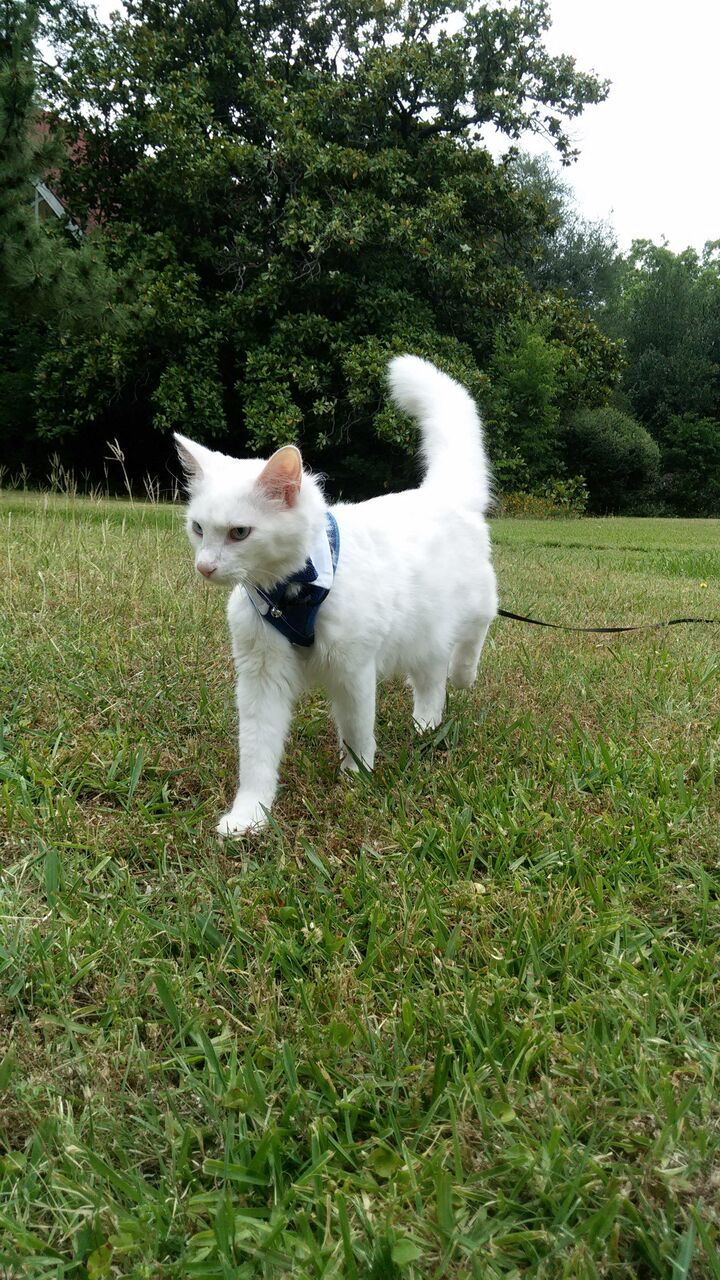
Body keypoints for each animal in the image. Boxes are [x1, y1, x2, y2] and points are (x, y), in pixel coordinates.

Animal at [175, 354, 497, 836]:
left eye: (239, 533)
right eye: (199, 528)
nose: (205, 567)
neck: (292, 593)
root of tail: (439, 493)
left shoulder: (352, 670)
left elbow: (357, 730)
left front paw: (357, 777)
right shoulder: (261, 677)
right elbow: (256, 755)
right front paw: (249, 815)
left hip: (474, 606)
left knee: (467, 646)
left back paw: (461, 679)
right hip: (423, 633)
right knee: (429, 678)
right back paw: (426, 723)